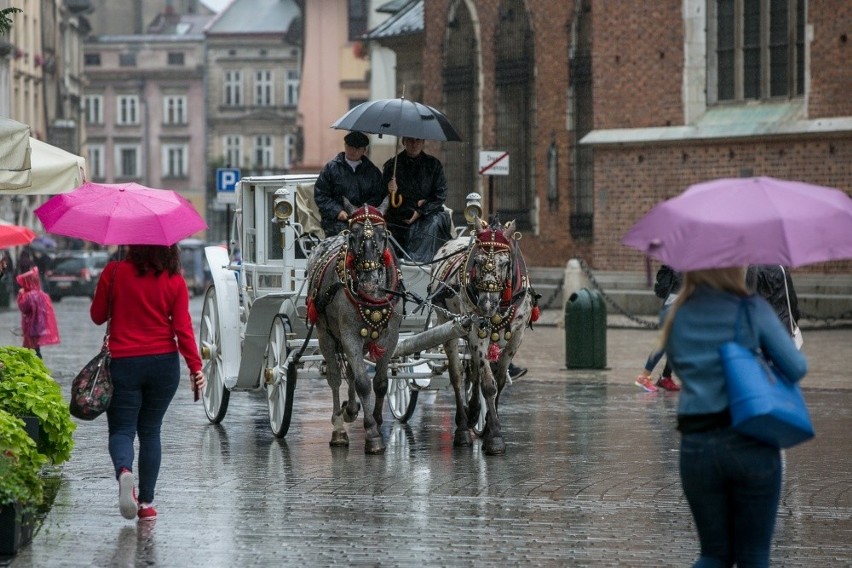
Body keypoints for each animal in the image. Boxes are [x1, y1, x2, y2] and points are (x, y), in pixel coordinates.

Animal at [304, 197, 402, 454]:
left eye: (383, 235)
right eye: (353, 236)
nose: (369, 282)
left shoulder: (391, 337)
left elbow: (380, 383)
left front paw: (376, 419)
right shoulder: (349, 336)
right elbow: (363, 383)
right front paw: (372, 434)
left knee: (348, 371)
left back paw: (351, 410)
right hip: (325, 335)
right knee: (335, 377)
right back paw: (339, 427)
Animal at [430, 220, 536, 454]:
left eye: (505, 263)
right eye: (477, 261)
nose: (486, 305)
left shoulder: (517, 336)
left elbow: (499, 380)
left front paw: (488, 426)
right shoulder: (477, 332)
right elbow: (488, 384)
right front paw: (495, 436)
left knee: (474, 371)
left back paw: (473, 413)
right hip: (447, 323)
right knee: (458, 374)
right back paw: (463, 427)